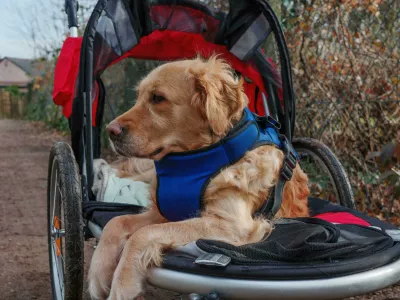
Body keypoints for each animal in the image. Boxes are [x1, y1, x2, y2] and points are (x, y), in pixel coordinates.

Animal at [89, 56, 310, 300]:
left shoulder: (233, 225)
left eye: (158, 98)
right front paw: (98, 271)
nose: (110, 131)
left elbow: (142, 234)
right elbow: (115, 222)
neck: (195, 160)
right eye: (139, 97)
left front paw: (123, 284)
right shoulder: (162, 213)